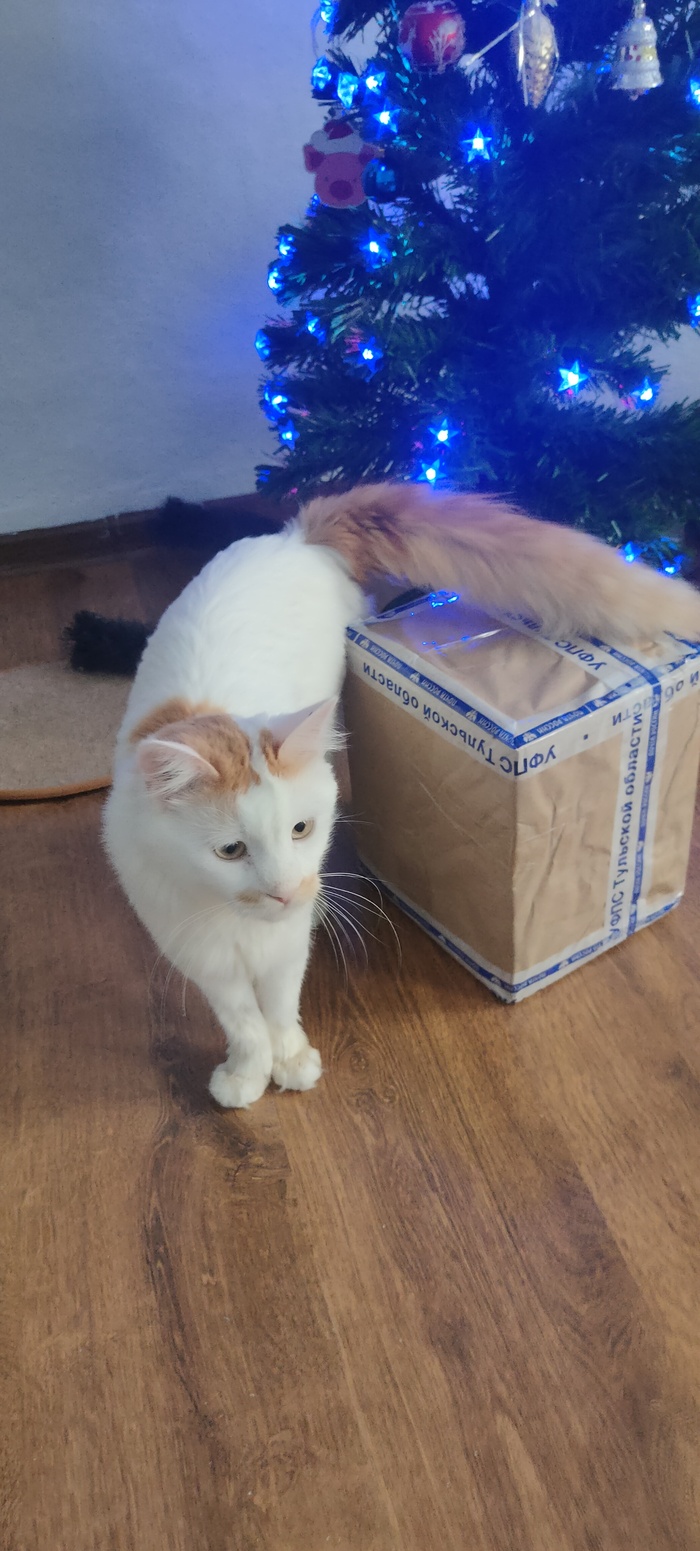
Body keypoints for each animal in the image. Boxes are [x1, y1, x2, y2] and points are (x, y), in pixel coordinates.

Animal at [103, 483, 700, 1107]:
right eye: (230, 851)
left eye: (301, 830)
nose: (286, 892)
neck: (242, 922)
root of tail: (295, 535)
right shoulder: (202, 954)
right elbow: (242, 1020)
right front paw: (248, 1074)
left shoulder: (290, 942)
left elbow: (282, 1008)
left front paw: (289, 1061)